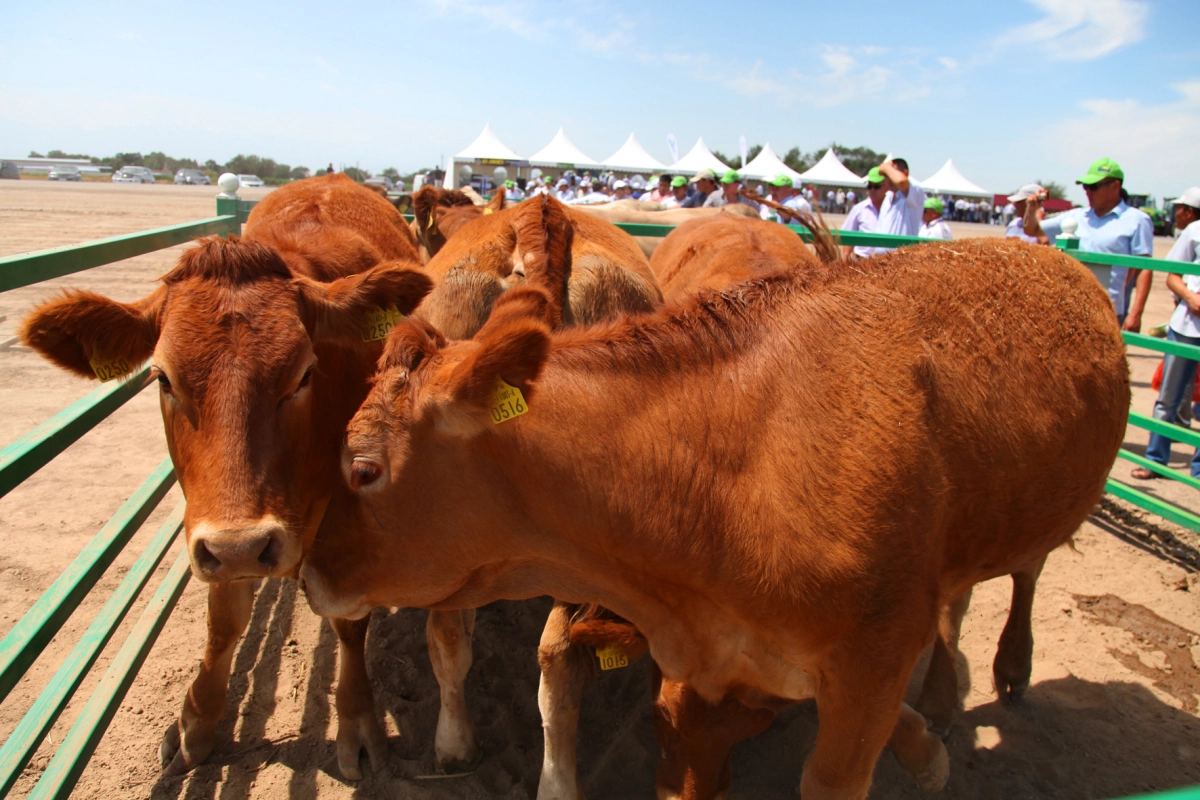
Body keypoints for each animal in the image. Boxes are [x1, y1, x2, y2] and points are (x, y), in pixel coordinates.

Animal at [17, 175, 453, 782]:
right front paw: (196, 722)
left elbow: (348, 621)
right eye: (162, 377)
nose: (245, 546)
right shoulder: (211, 531)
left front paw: (357, 720)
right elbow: (224, 619)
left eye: (304, 373)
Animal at [297, 239, 1123, 800]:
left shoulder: (872, 654)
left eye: (363, 468)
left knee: (1024, 573)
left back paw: (1001, 671)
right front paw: (924, 747)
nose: (307, 573)